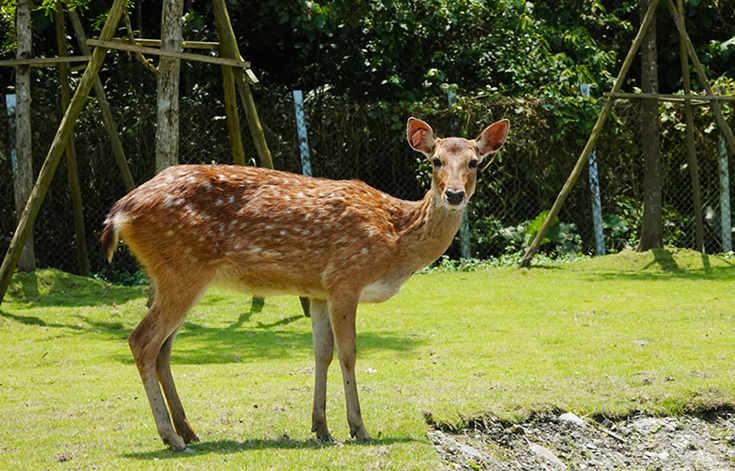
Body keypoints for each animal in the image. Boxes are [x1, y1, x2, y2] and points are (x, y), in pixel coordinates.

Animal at [100, 116, 508, 452]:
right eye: (435, 160)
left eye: (474, 162)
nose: (453, 194)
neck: (396, 239)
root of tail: (119, 213)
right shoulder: (346, 277)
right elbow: (348, 353)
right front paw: (358, 429)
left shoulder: (317, 290)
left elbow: (321, 353)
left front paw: (321, 428)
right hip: (183, 269)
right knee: (143, 340)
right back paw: (171, 437)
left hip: (171, 275)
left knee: (163, 348)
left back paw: (188, 431)